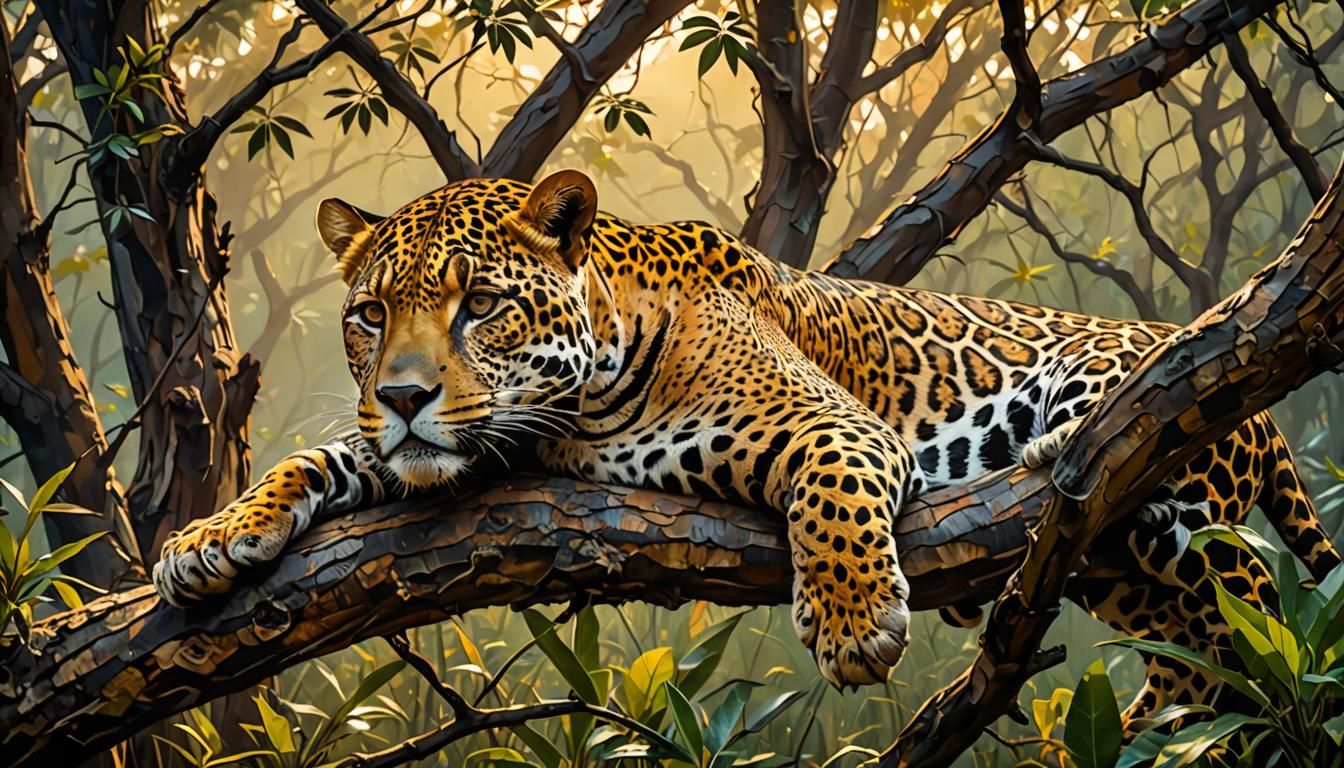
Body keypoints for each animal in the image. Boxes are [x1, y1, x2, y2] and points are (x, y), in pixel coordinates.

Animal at [154, 171, 1340, 719]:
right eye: (369, 316)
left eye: (478, 304)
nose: (401, 394)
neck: (578, 410)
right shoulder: (459, 443)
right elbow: (325, 456)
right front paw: (210, 538)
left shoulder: (834, 424)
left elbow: (831, 486)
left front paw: (855, 625)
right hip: (1138, 583)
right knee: (1213, 656)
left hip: (1149, 434)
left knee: (1256, 608)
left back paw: (1063, 449)